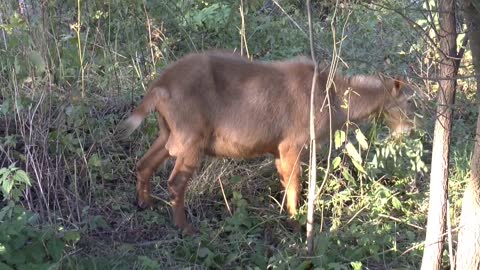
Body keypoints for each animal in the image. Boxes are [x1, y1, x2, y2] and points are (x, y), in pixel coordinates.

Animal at [118, 52, 414, 234]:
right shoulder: (293, 146)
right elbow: (295, 186)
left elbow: (285, 183)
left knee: (144, 164)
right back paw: (186, 228)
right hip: (191, 140)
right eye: (409, 101)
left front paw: (287, 218)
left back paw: (145, 204)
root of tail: (159, 87)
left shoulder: (278, 150)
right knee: (175, 182)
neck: (332, 95)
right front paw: (297, 225)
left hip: (167, 133)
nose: (409, 129)